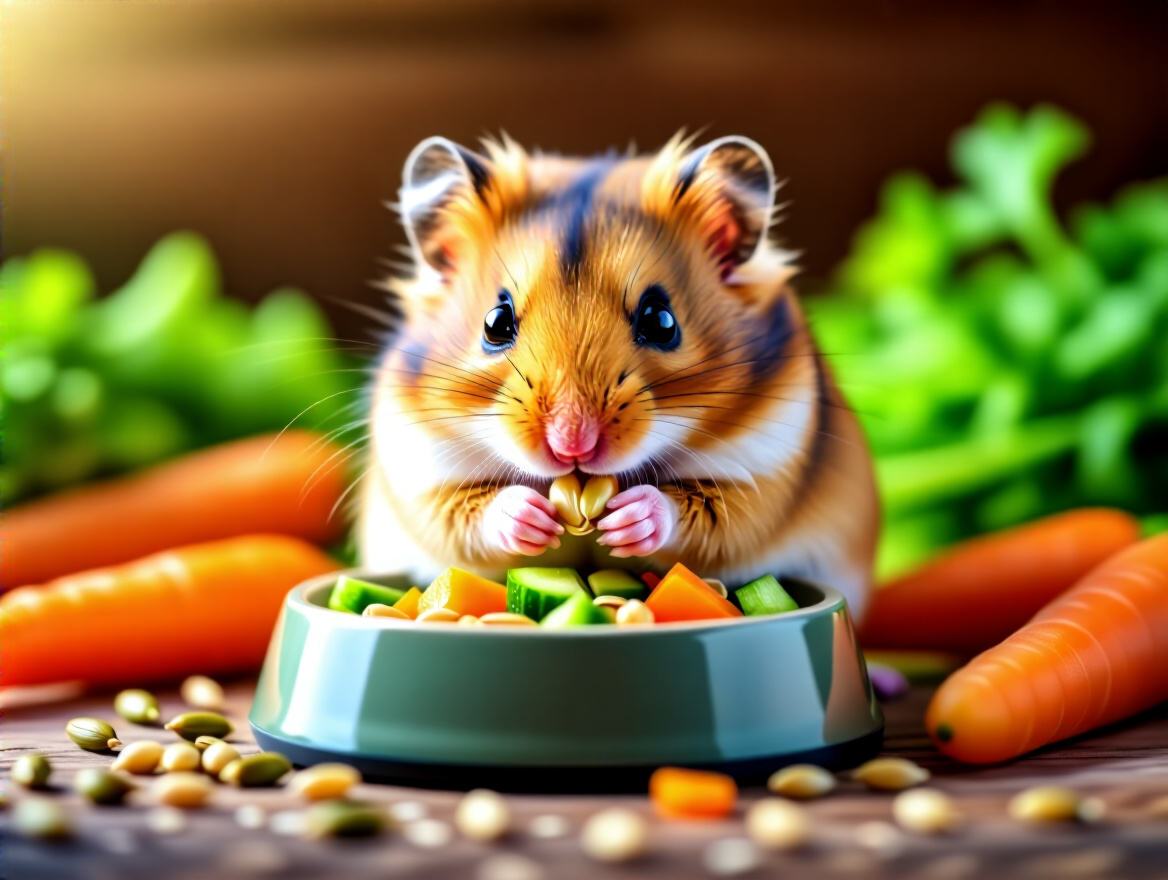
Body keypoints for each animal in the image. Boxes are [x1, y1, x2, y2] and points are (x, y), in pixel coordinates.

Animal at [359, 133, 879, 617]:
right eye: (494, 323)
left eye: (662, 321)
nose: (572, 445)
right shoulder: (420, 473)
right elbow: (464, 515)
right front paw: (531, 517)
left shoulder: (763, 472)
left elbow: (703, 514)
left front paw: (629, 519)